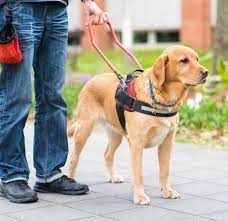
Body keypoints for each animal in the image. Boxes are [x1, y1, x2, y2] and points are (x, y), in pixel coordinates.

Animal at [67, 45, 208, 205]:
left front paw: (167, 191)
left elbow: (165, 171)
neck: (162, 98)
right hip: (84, 129)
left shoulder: (167, 143)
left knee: (107, 154)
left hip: (116, 134)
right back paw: (71, 180)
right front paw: (140, 196)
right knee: (74, 157)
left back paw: (113, 176)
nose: (206, 73)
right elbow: (138, 174)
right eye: (184, 60)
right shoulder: (136, 144)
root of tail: (93, 78)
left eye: (197, 59)